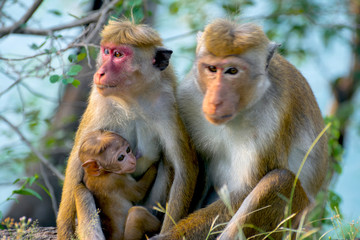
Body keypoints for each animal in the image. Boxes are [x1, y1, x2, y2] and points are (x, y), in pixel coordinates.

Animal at [56, 19, 198, 240]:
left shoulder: (166, 104)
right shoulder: (99, 100)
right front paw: (64, 230)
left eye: (118, 55)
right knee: (81, 191)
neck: (132, 97)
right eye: (106, 51)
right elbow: (76, 163)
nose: (100, 72)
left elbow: (184, 168)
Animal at [150, 19, 328, 240]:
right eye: (212, 68)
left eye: (232, 71)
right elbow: (190, 167)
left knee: (280, 180)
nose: (216, 100)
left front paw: (167, 236)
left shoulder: (270, 120)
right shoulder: (187, 99)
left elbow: (246, 188)